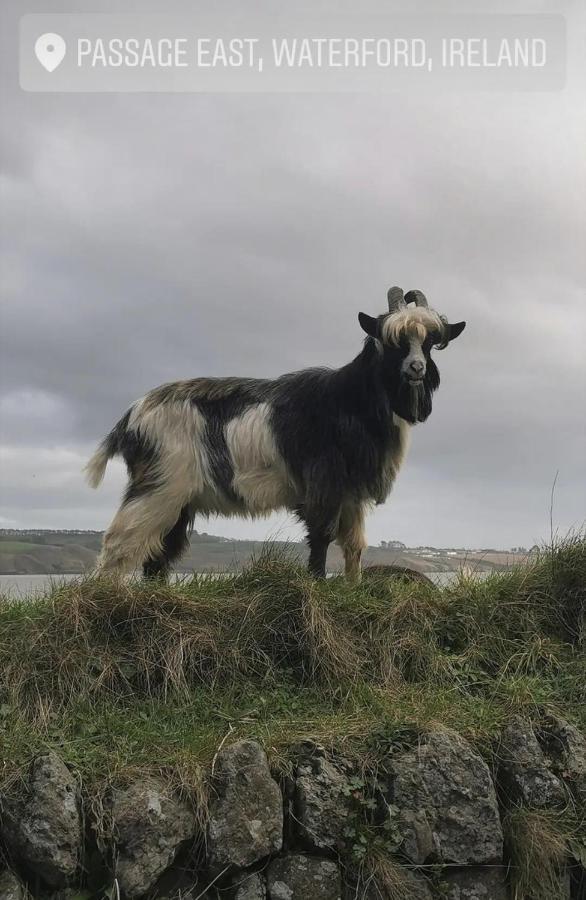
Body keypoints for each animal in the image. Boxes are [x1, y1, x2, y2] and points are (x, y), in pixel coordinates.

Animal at [84, 290, 464, 584]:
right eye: (392, 340)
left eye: (431, 342)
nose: (416, 369)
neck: (350, 400)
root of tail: (131, 416)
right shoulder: (323, 483)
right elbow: (322, 536)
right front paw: (317, 585)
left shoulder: (351, 493)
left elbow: (354, 544)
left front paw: (353, 589)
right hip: (158, 486)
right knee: (119, 544)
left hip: (178, 499)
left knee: (159, 552)